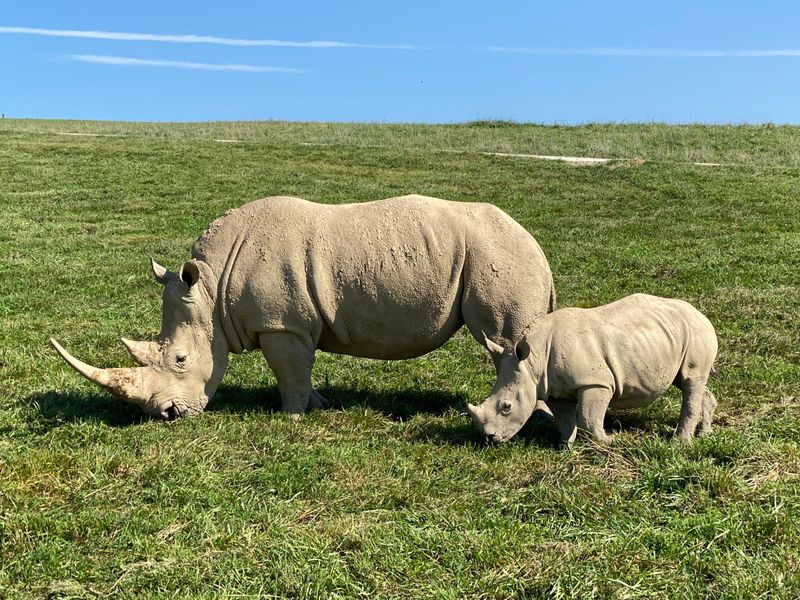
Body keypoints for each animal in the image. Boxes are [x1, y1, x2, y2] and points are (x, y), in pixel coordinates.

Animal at [51, 194, 555, 420]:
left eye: (178, 359)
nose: (167, 415)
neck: (212, 288)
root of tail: (537, 246)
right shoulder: (294, 323)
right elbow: (302, 372)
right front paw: (320, 404)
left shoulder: (281, 324)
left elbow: (290, 373)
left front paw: (292, 417)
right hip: (498, 253)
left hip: (497, 256)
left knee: (508, 344)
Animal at [467, 293, 718, 447]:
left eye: (506, 406)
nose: (489, 438)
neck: (533, 362)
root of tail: (702, 314)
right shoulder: (553, 388)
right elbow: (565, 419)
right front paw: (564, 446)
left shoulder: (595, 382)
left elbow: (589, 418)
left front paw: (609, 442)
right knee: (689, 382)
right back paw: (704, 434)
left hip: (697, 332)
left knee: (691, 380)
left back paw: (680, 442)